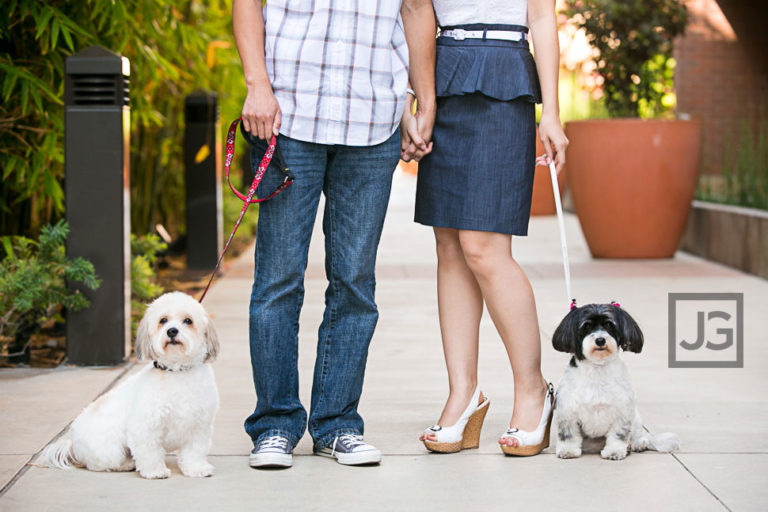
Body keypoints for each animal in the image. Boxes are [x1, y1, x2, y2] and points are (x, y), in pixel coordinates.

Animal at [39, 294, 220, 478]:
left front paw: (196, 468)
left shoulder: (199, 426)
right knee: (97, 464)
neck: (176, 372)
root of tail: (73, 444)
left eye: (188, 320)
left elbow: (194, 452)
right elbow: (149, 451)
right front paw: (155, 471)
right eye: (163, 320)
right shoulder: (145, 425)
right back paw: (124, 465)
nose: (172, 331)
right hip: (109, 449)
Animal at [552, 304, 680, 460]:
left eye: (609, 324)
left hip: (635, 418)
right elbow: (568, 434)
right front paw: (568, 450)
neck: (598, 368)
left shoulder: (622, 411)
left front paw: (615, 451)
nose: (600, 340)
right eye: (587, 326)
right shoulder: (567, 410)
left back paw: (638, 444)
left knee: (638, 435)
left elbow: (618, 435)